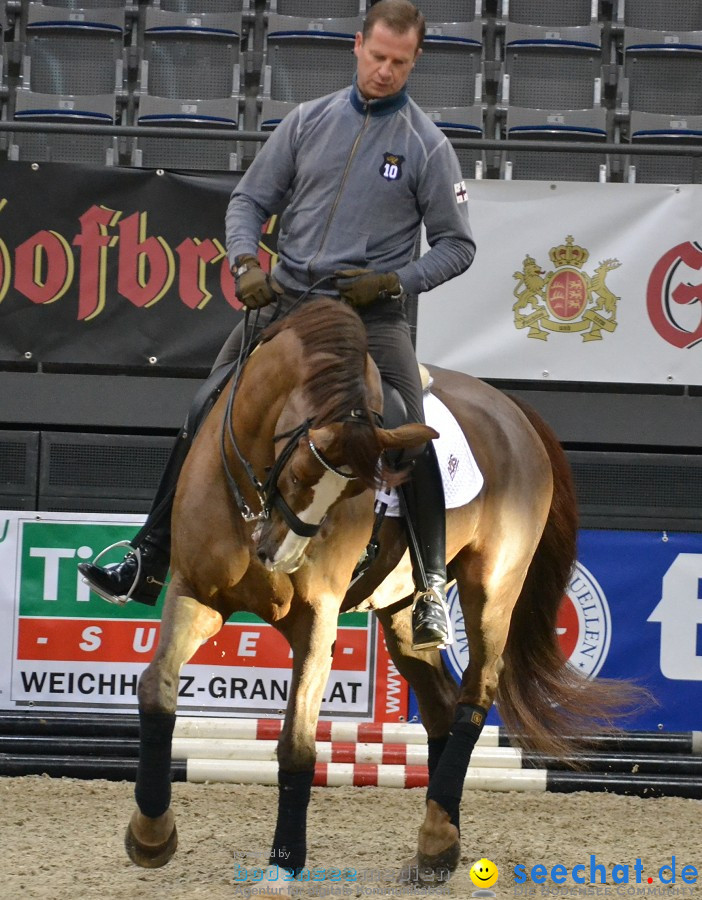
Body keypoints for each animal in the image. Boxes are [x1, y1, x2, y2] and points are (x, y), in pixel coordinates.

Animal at [125, 300, 632, 884]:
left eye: (358, 489)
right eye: (297, 470)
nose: (279, 555)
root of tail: (514, 410)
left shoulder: (316, 618)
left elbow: (298, 743)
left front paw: (285, 861)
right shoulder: (197, 593)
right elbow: (155, 687)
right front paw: (151, 835)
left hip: (492, 590)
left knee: (474, 695)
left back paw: (435, 837)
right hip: (401, 611)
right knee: (439, 706)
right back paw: (442, 842)